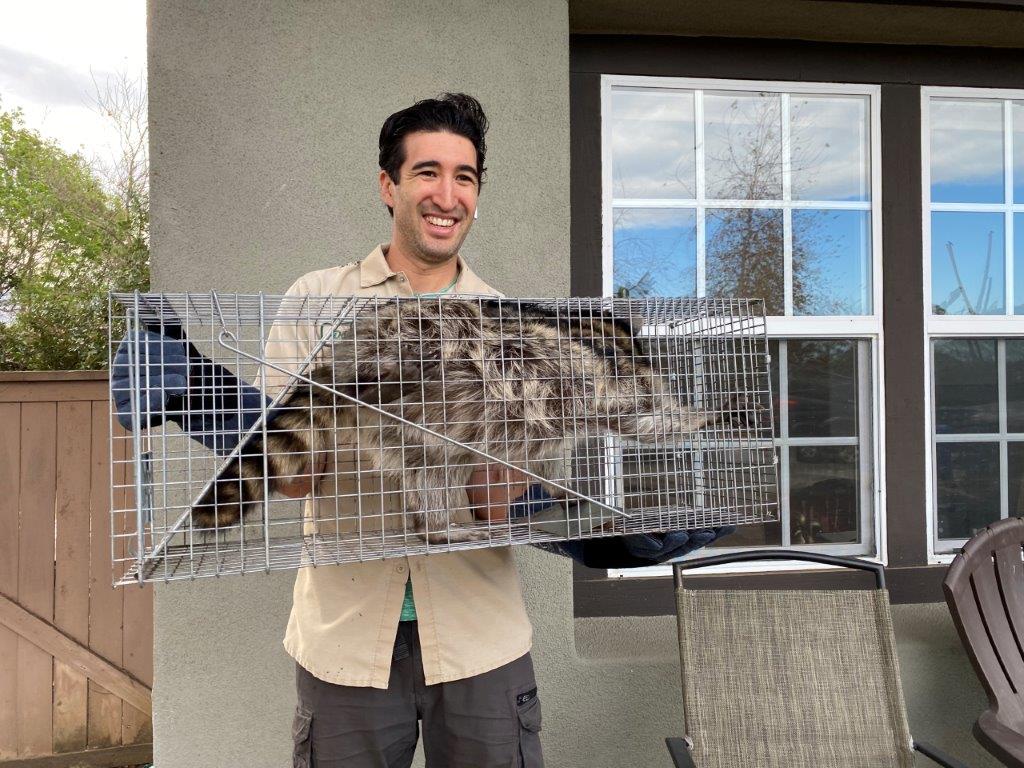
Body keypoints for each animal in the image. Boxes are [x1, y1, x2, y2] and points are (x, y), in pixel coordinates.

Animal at [190, 299, 743, 542]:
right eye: (631, 358)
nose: (656, 378)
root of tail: (345, 362)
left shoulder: (566, 418)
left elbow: (555, 460)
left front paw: (566, 492)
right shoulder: (592, 388)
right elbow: (640, 422)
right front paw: (701, 417)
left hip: (419, 428)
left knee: (431, 471)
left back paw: (434, 527)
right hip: (417, 350)